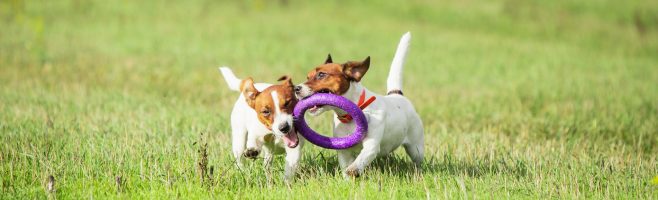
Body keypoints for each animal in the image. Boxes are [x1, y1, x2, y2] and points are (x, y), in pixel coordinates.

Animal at [294, 32, 422, 178]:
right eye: (308, 77)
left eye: (321, 74)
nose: (296, 88)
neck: (350, 116)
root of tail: (397, 94)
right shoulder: (343, 149)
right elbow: (345, 166)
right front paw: (346, 179)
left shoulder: (371, 145)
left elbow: (362, 158)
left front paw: (353, 169)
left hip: (415, 147)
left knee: (417, 160)